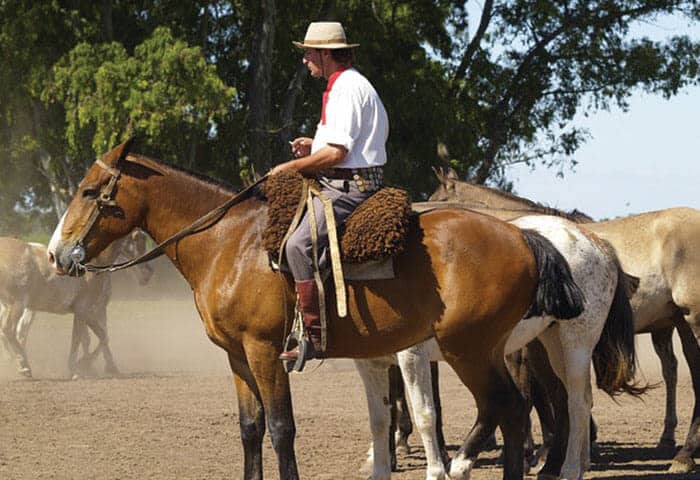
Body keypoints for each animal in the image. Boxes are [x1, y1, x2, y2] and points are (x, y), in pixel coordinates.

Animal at [0, 230, 153, 378]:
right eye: (137, 238)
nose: (147, 274)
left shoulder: (86, 311)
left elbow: (99, 336)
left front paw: (85, 365)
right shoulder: (84, 309)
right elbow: (81, 338)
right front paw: (79, 367)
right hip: (17, 305)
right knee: (9, 330)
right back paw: (24, 367)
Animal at [47, 138, 585, 480]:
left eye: (90, 191)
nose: (56, 254)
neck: (231, 244)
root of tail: (524, 236)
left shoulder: (265, 351)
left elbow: (281, 429)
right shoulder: (236, 357)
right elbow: (250, 430)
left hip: (469, 350)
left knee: (511, 408)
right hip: (486, 350)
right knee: (514, 411)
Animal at [357, 212, 642, 480]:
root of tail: (598, 243)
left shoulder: (414, 355)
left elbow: (426, 412)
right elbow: (384, 412)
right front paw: (379, 459)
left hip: (574, 342)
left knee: (575, 402)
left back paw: (567, 469)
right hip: (549, 344)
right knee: (570, 399)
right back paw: (569, 464)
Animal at [428, 169, 700, 474]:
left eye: (437, 198)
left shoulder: (519, 350)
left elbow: (537, 394)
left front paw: (538, 454)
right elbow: (551, 394)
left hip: (690, 321)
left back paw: (684, 454)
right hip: (676, 324)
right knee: (675, 370)